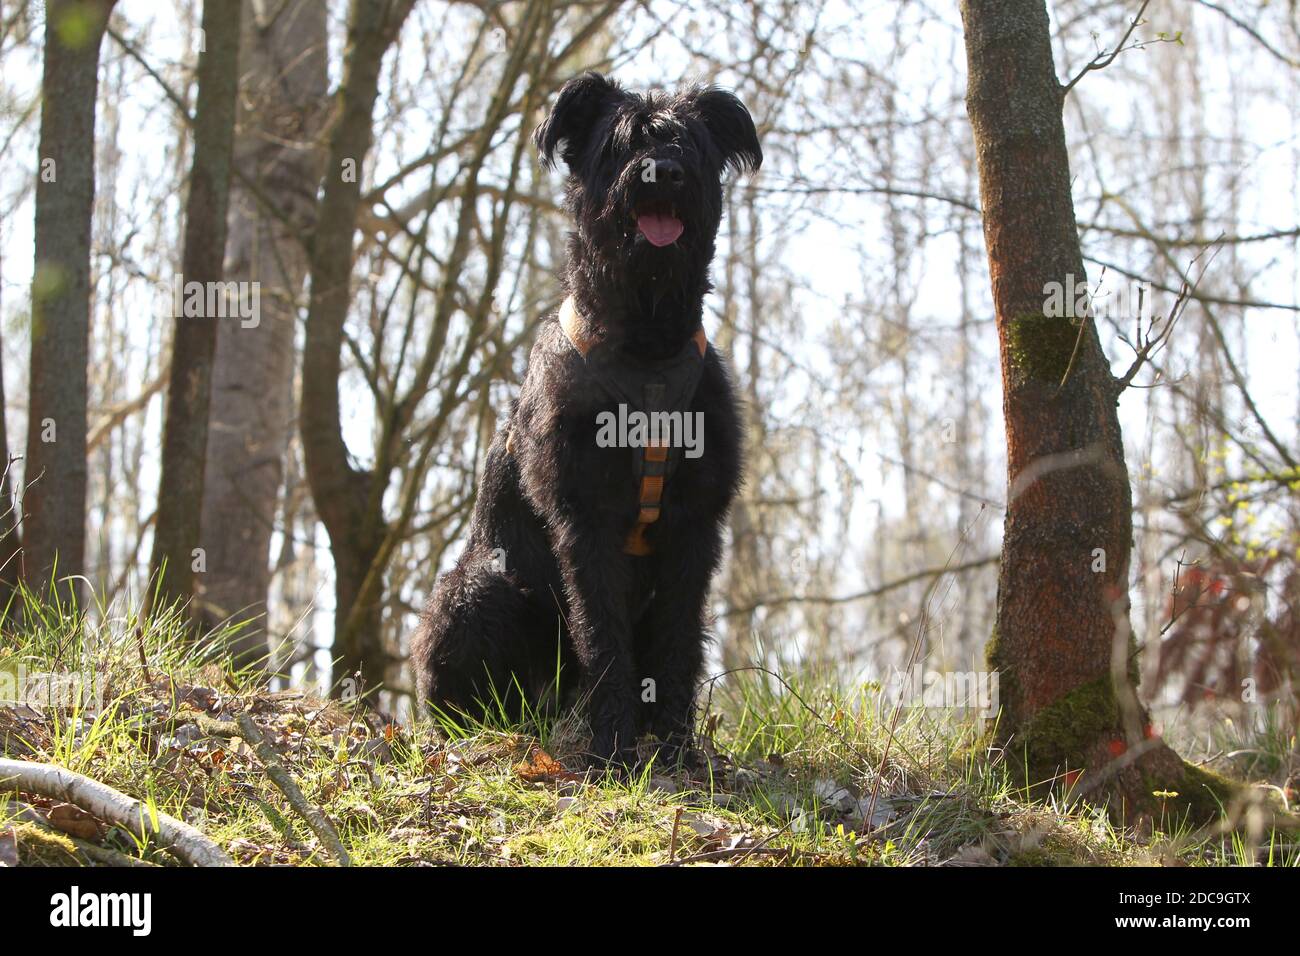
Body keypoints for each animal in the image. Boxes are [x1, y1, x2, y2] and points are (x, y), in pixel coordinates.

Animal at [410, 70, 759, 764]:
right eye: (623, 143)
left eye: (689, 142)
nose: (663, 171)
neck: (647, 344)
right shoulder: (585, 520)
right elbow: (602, 637)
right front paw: (614, 749)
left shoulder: (694, 526)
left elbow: (678, 641)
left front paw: (675, 745)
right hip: (481, 588)